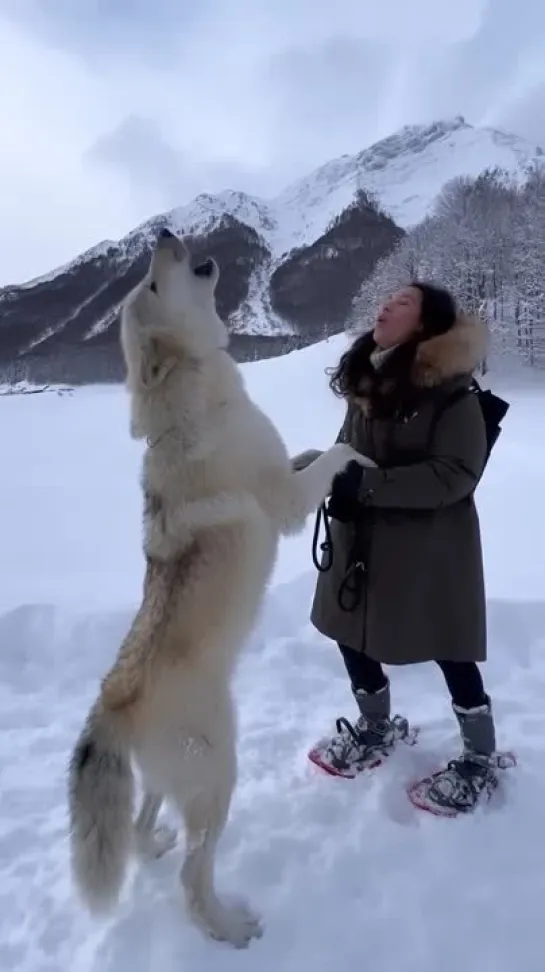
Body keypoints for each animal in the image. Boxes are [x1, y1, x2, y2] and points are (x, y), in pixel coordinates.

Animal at [67, 226, 374, 940]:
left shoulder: (287, 472)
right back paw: (231, 927)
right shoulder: (285, 503)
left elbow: (309, 454)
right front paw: (358, 454)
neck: (194, 399)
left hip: (171, 782)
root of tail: (110, 708)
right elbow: (331, 460)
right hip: (219, 776)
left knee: (146, 826)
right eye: (152, 282)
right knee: (192, 879)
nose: (163, 233)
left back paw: (151, 844)